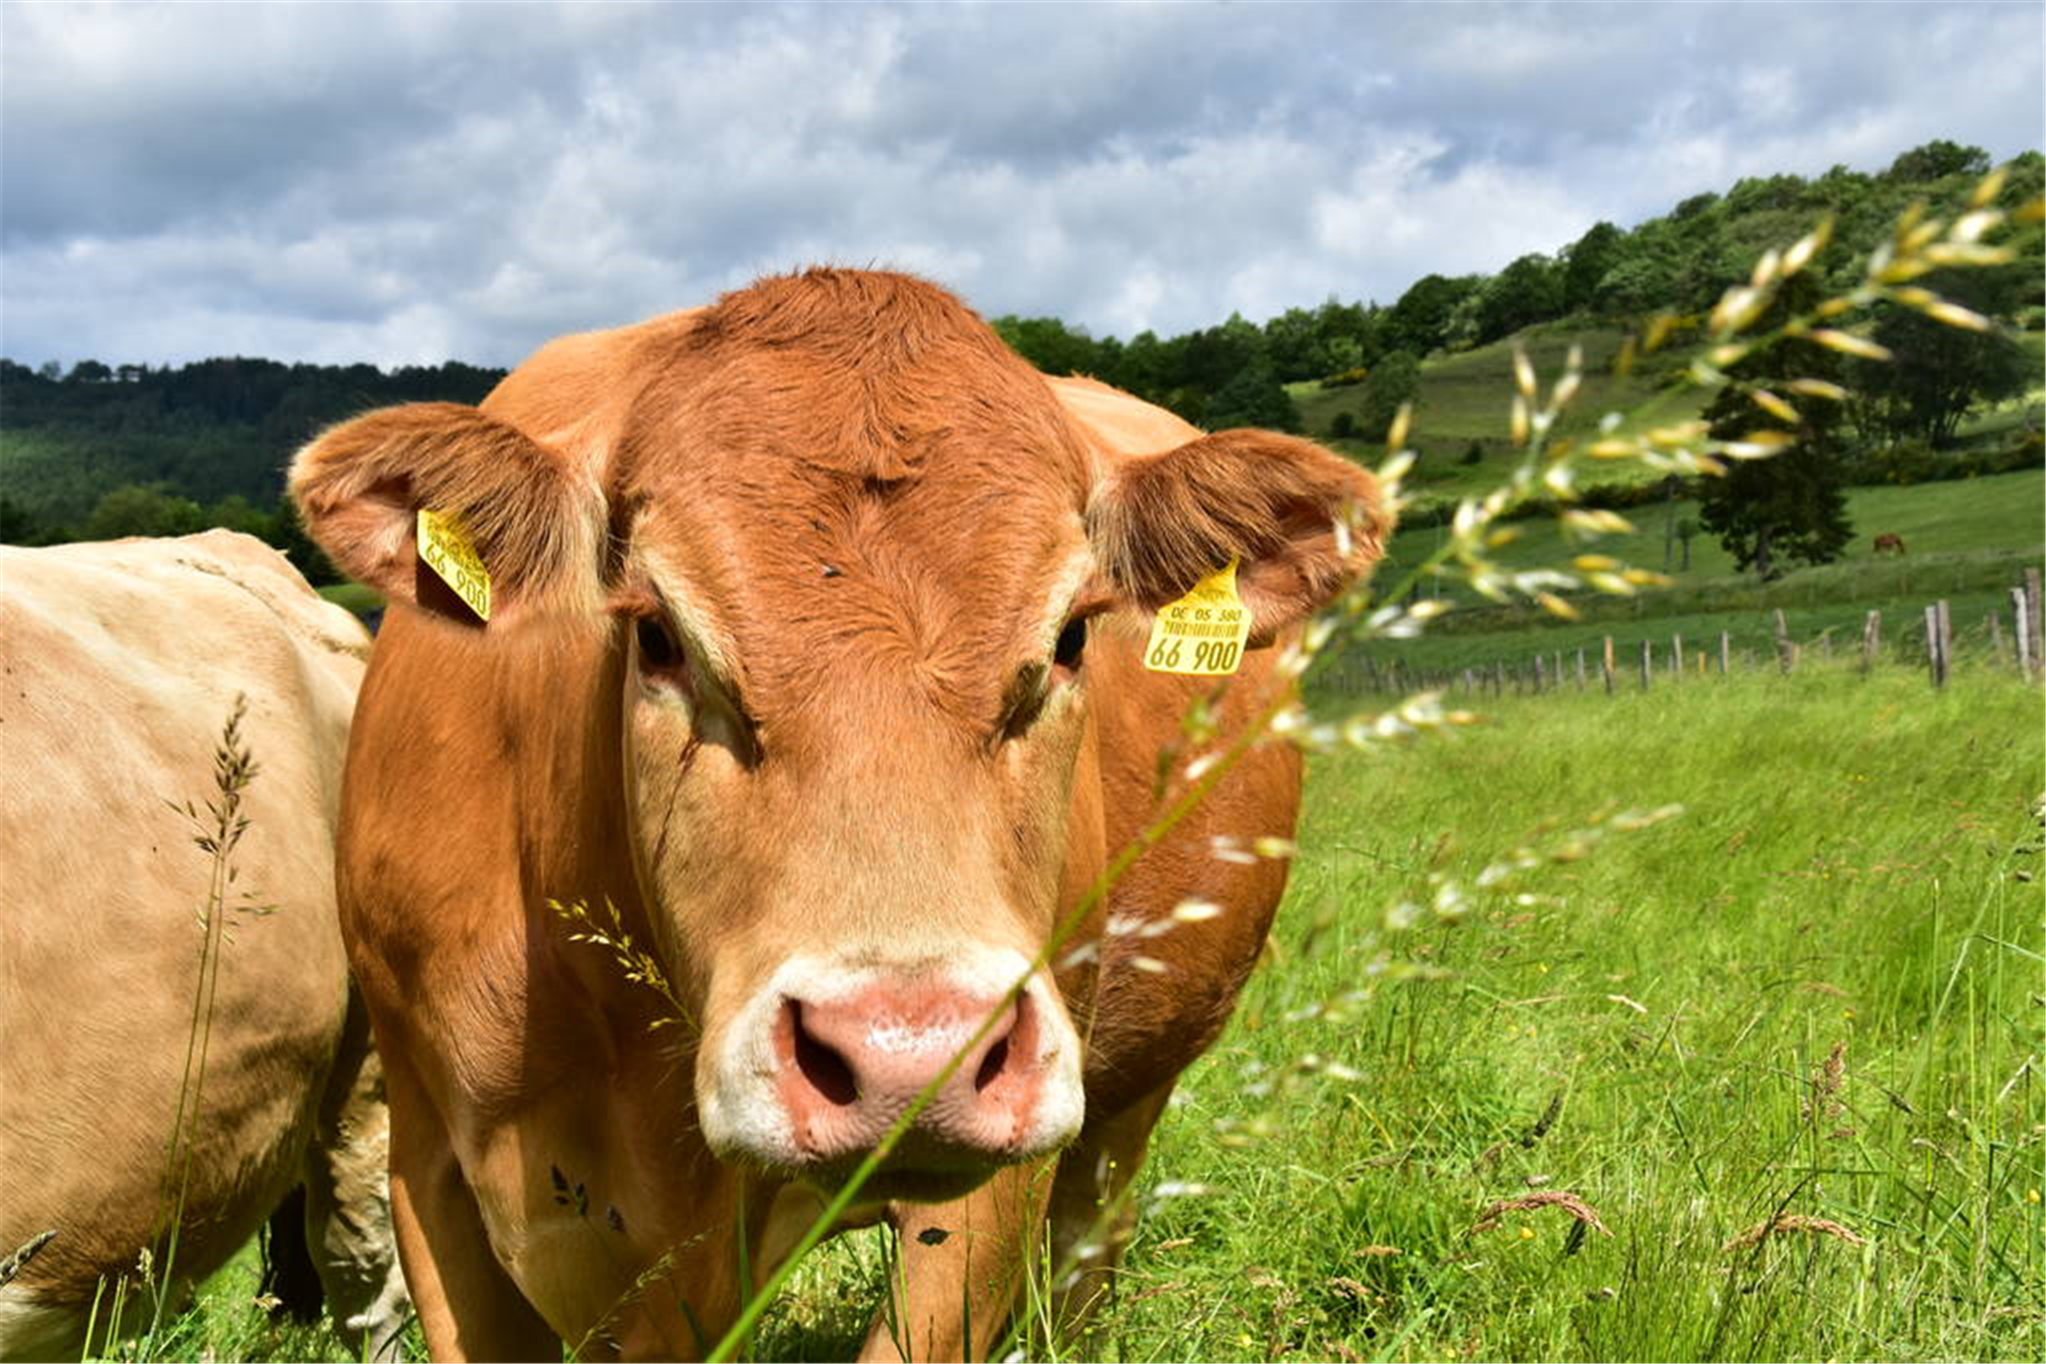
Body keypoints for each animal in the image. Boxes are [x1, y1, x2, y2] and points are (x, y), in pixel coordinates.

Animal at [292, 265, 1391, 1357]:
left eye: (1074, 635)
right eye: (656, 634)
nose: (910, 1058)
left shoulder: (999, 1181)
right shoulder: (426, 1171)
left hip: (1126, 1107)